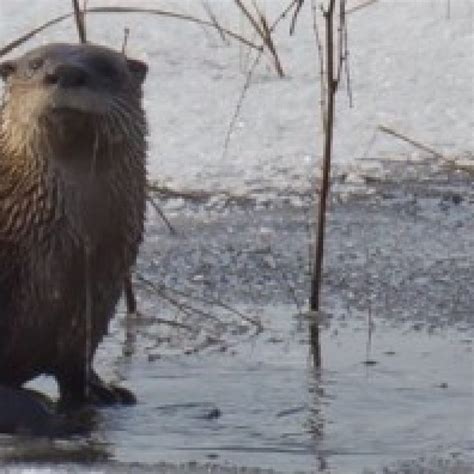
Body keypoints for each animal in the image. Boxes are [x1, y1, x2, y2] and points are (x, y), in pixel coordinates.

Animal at [0, 42, 147, 416]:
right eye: (35, 64)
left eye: (105, 67)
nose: (65, 73)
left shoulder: (94, 298)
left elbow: (76, 369)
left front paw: (100, 391)